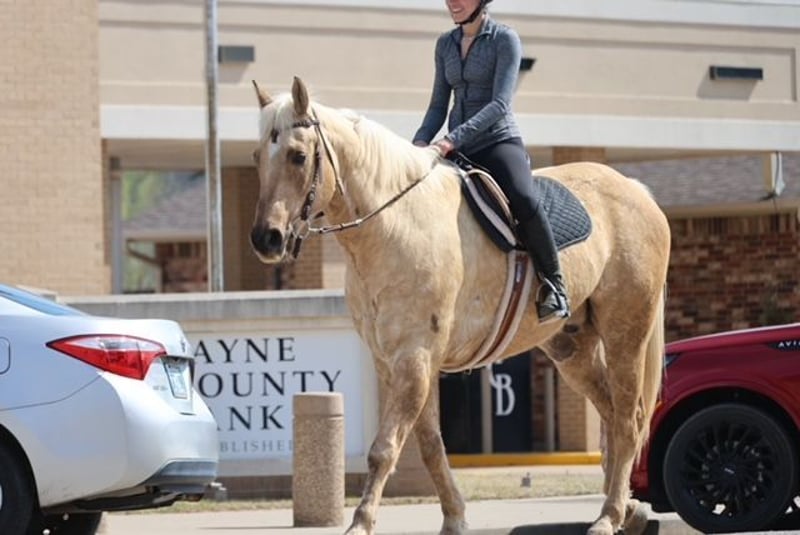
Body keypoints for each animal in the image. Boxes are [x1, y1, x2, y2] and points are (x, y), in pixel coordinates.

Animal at [249, 77, 671, 535]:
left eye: (298, 155)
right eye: (257, 156)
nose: (266, 239)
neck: (392, 225)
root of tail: (637, 191)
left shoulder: (414, 356)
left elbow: (385, 448)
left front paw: (360, 523)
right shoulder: (398, 361)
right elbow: (430, 443)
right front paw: (454, 518)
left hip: (626, 332)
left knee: (628, 421)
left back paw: (609, 517)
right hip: (571, 349)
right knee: (611, 416)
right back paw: (627, 509)